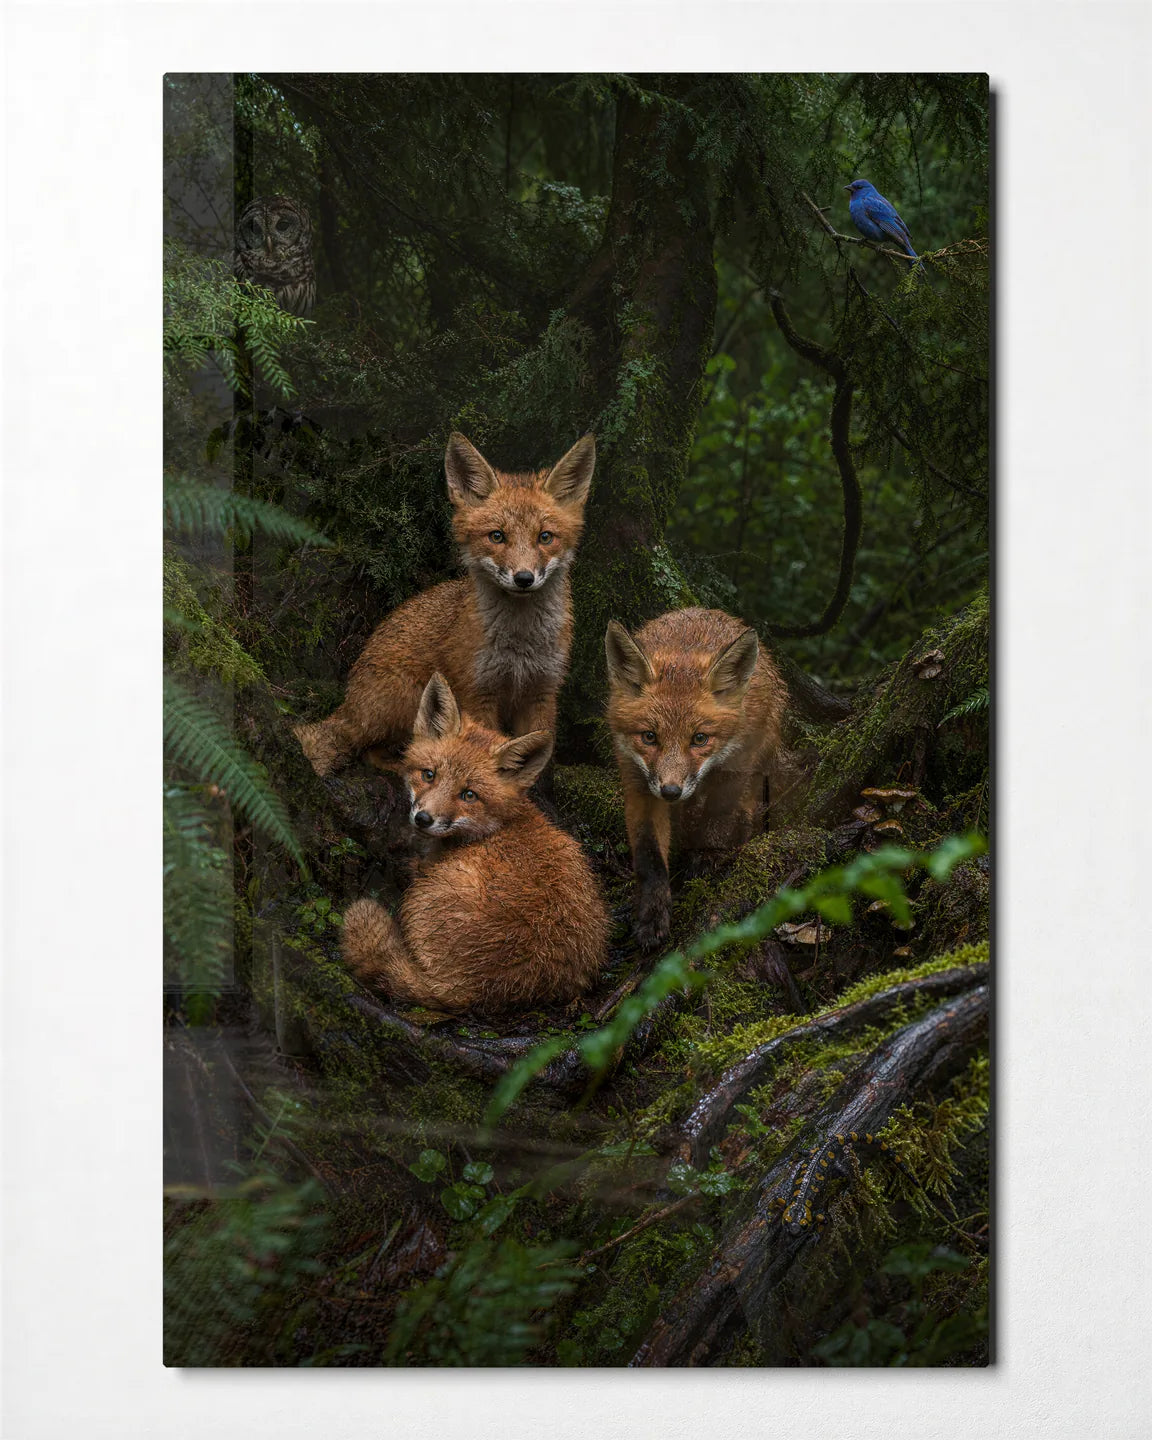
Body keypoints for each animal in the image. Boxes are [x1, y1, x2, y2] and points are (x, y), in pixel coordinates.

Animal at [294, 431, 595, 777]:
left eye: (545, 537)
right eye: (497, 536)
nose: (523, 578)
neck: (520, 646)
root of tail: (349, 699)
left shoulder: (542, 691)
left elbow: (536, 766)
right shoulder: (478, 694)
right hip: (409, 698)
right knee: (372, 751)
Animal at [340, 673, 609, 1013]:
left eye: (469, 795)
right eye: (429, 775)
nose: (423, 819)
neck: (496, 828)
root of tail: (470, 990)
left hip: (423, 895)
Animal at [604, 607, 789, 952]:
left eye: (699, 738)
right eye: (649, 737)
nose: (671, 791)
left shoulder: (737, 760)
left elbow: (718, 815)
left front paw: (708, 857)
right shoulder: (638, 780)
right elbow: (649, 854)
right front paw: (652, 914)